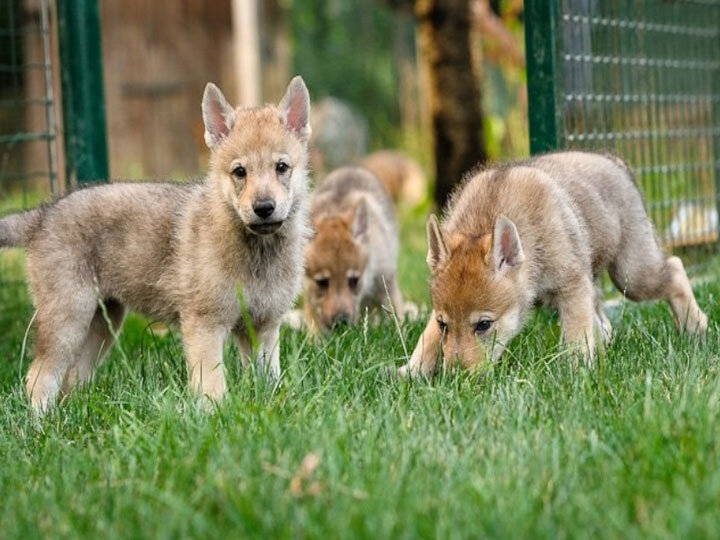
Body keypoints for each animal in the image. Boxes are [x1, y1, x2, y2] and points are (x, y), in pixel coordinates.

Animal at [1, 78, 314, 412]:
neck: (258, 252)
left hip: (101, 326)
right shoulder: (205, 325)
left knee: (71, 380)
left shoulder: (264, 327)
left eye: (282, 167)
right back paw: (41, 422)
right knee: (38, 378)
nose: (264, 208)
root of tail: (41, 215)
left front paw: (272, 406)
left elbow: (268, 380)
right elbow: (212, 384)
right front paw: (213, 414)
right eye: (239, 172)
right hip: (68, 319)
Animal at [302, 166, 404, 334]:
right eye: (322, 283)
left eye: (354, 281)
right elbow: (314, 321)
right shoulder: (311, 296)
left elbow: (394, 312)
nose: (341, 321)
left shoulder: (386, 281)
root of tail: (351, 168)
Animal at [400, 150, 708, 378]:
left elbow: (575, 334)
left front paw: (574, 370)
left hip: (632, 275)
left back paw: (695, 327)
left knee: (676, 268)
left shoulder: (571, 285)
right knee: (603, 319)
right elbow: (426, 337)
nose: (456, 377)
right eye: (443, 324)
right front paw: (411, 370)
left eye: (484, 325)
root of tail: (615, 162)